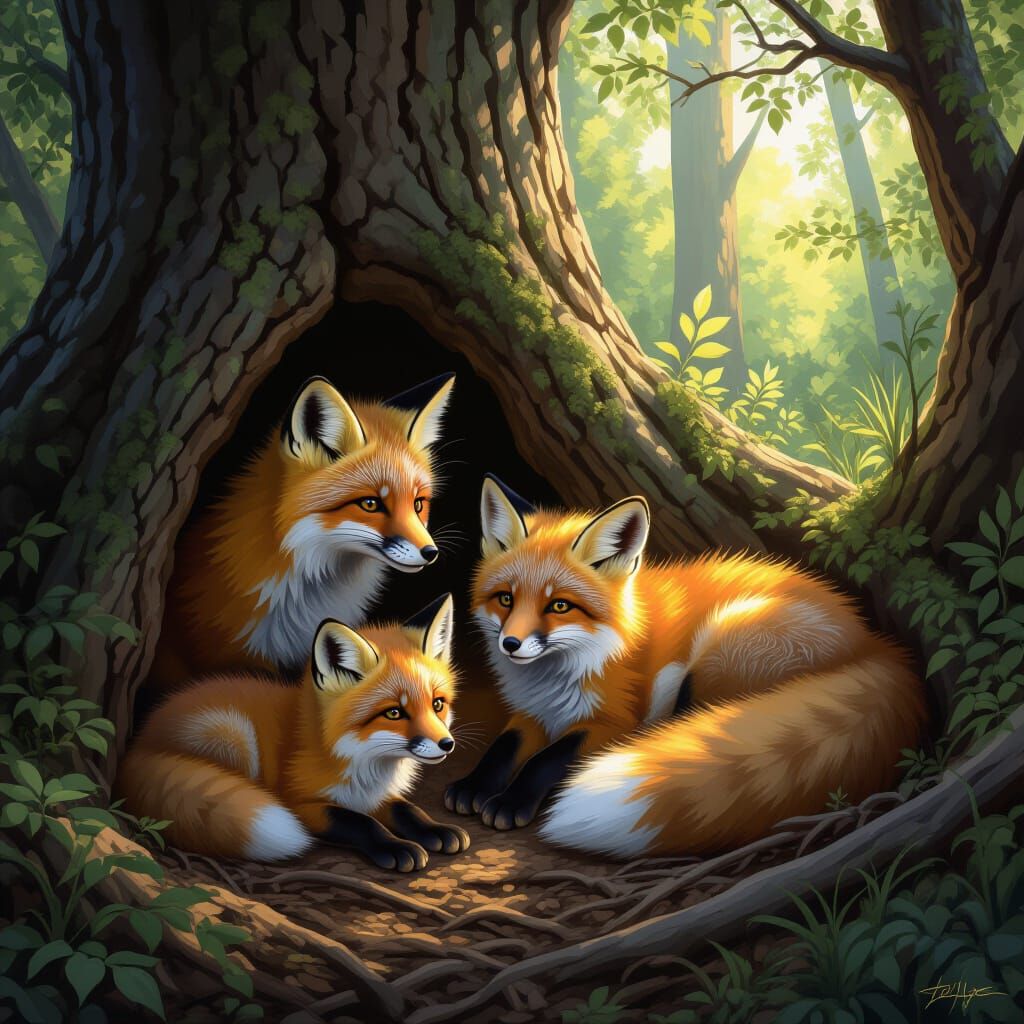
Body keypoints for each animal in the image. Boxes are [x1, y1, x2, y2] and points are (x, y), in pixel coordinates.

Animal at [118, 595, 470, 869]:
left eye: (437, 704)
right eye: (394, 713)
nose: (446, 744)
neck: (361, 760)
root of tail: (139, 742)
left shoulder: (370, 795)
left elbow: (406, 809)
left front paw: (435, 830)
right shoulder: (301, 803)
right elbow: (360, 822)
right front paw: (395, 847)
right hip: (234, 734)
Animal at [444, 475, 925, 858]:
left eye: (559, 606)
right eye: (506, 599)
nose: (510, 644)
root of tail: (877, 644)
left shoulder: (611, 719)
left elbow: (548, 759)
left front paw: (510, 801)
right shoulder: (531, 712)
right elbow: (505, 747)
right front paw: (474, 785)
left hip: (715, 650)